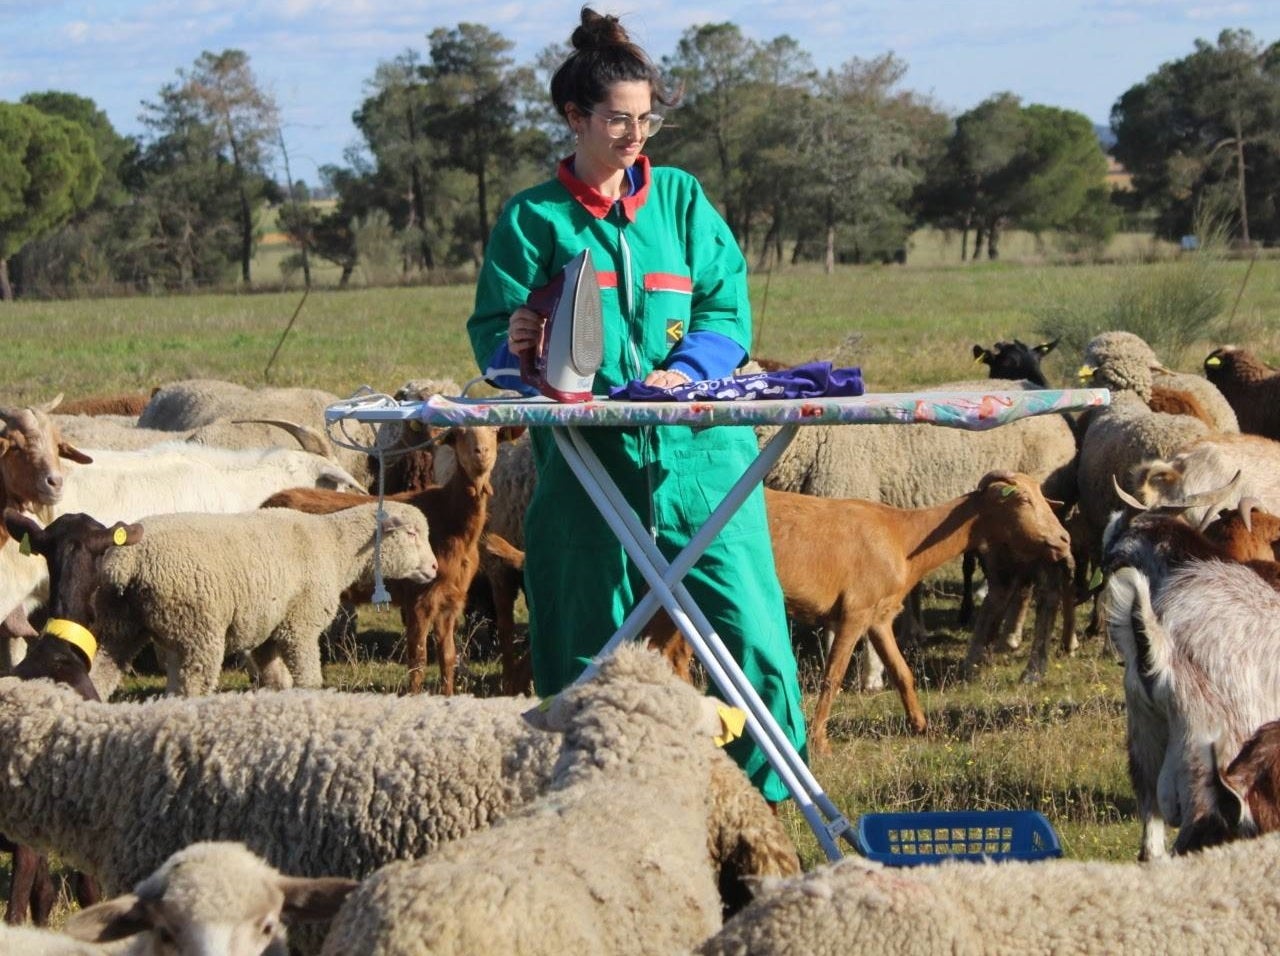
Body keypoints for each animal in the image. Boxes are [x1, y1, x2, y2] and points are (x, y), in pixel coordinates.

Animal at [259, 427, 519, 696]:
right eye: (458, 435)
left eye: (495, 433)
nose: (481, 453)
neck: (450, 517)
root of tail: (266, 503)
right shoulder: (418, 599)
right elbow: (418, 659)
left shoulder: (450, 600)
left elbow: (447, 657)